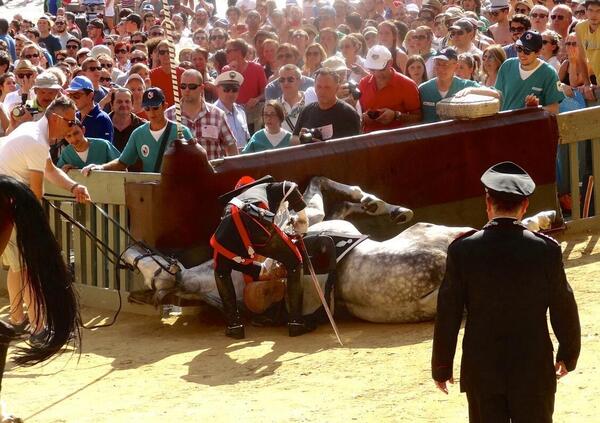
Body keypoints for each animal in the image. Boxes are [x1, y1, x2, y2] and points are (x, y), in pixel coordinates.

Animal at [122, 177, 556, 322]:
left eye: (151, 267)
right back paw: (544, 219)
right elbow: (321, 184)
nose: (128, 254)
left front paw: (380, 205)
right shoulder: (323, 220)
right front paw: (379, 204)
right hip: (436, 235)